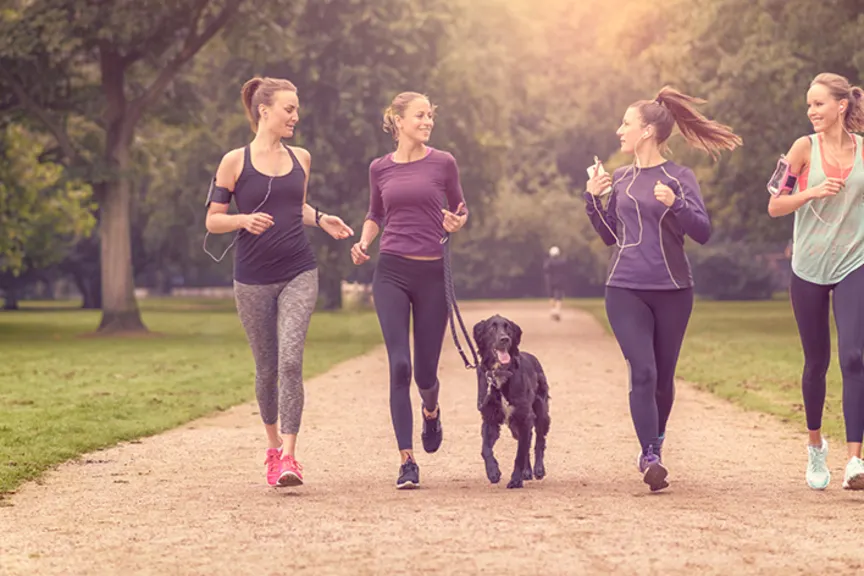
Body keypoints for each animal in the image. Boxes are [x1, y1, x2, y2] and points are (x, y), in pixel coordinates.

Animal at [470, 316, 552, 486]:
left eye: (508, 328)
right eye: (492, 328)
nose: (505, 339)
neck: (500, 373)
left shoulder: (525, 416)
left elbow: (520, 453)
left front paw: (515, 480)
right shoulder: (490, 417)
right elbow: (485, 449)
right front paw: (493, 472)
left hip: (541, 412)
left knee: (539, 441)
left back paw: (538, 469)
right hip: (514, 425)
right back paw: (527, 472)